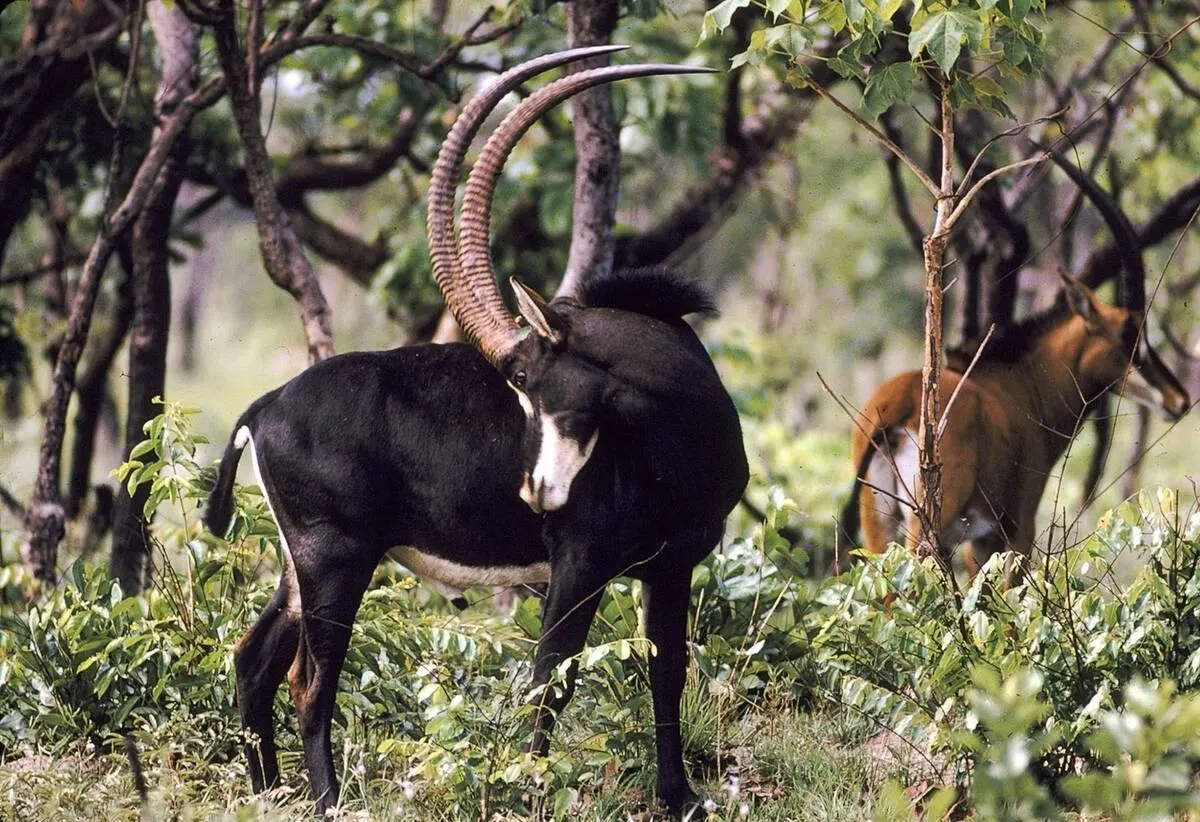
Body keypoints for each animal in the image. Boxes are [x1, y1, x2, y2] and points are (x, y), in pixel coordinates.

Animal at [204, 47, 748, 816]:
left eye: (524, 377)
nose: (539, 494)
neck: (682, 440)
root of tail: (265, 405)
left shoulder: (672, 566)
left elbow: (667, 675)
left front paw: (679, 798)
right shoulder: (581, 562)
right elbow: (551, 681)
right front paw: (533, 791)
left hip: (297, 564)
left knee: (254, 662)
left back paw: (269, 794)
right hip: (335, 557)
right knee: (309, 681)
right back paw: (329, 800)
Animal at [840, 273, 1190, 577]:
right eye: (1130, 336)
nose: (1179, 400)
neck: (1023, 385)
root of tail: (903, 400)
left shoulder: (979, 542)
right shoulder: (1018, 528)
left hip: (878, 523)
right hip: (928, 523)